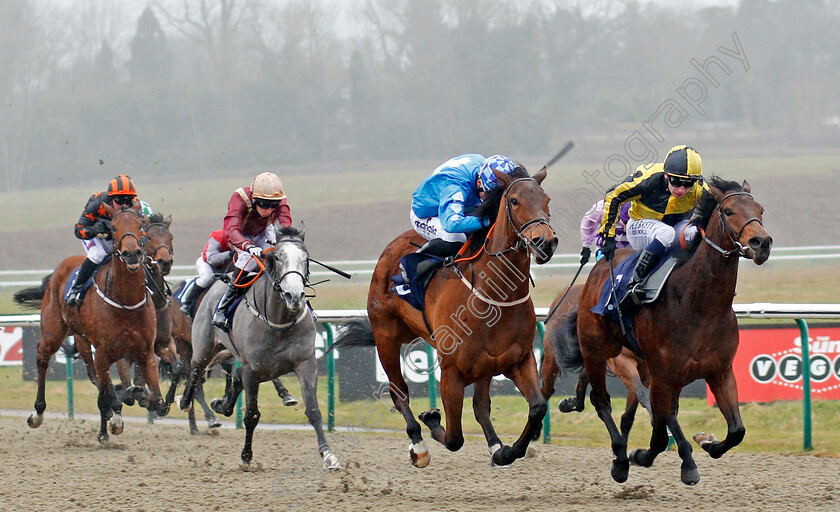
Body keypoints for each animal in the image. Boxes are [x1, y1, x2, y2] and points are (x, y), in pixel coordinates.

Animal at [13, 203, 169, 440]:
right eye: (113, 228)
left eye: (140, 227)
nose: (132, 253)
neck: (126, 301)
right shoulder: (104, 352)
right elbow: (109, 392)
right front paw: (113, 421)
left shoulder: (146, 351)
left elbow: (157, 400)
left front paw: (136, 395)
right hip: (55, 332)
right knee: (43, 357)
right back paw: (38, 412)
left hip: (83, 340)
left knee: (95, 376)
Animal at [179, 224, 340, 468]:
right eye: (278, 257)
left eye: (306, 258)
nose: (294, 296)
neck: (279, 321)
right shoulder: (253, 371)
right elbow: (251, 415)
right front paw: (246, 456)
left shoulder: (305, 363)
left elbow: (313, 410)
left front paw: (328, 454)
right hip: (204, 346)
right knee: (195, 368)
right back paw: (185, 401)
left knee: (233, 377)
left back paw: (220, 404)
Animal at [334, 166, 556, 466]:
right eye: (514, 201)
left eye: (546, 200)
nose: (545, 242)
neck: (496, 296)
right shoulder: (451, 372)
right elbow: (454, 438)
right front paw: (430, 417)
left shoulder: (518, 360)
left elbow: (537, 407)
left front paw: (507, 452)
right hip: (386, 337)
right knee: (399, 392)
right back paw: (418, 446)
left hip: (482, 364)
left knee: (481, 405)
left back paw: (494, 445)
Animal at [540, 282, 652, 442]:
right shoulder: (623, 363)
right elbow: (641, 395)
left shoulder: (646, 372)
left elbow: (629, 415)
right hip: (554, 354)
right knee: (548, 387)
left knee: (584, 379)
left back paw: (572, 403)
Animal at [556, 178, 776, 486]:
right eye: (729, 211)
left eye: (760, 209)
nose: (761, 243)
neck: (700, 304)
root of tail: (601, 267)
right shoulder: (663, 375)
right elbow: (659, 434)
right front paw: (642, 457)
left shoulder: (719, 371)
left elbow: (736, 431)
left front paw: (706, 442)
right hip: (596, 348)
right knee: (601, 401)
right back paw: (620, 458)